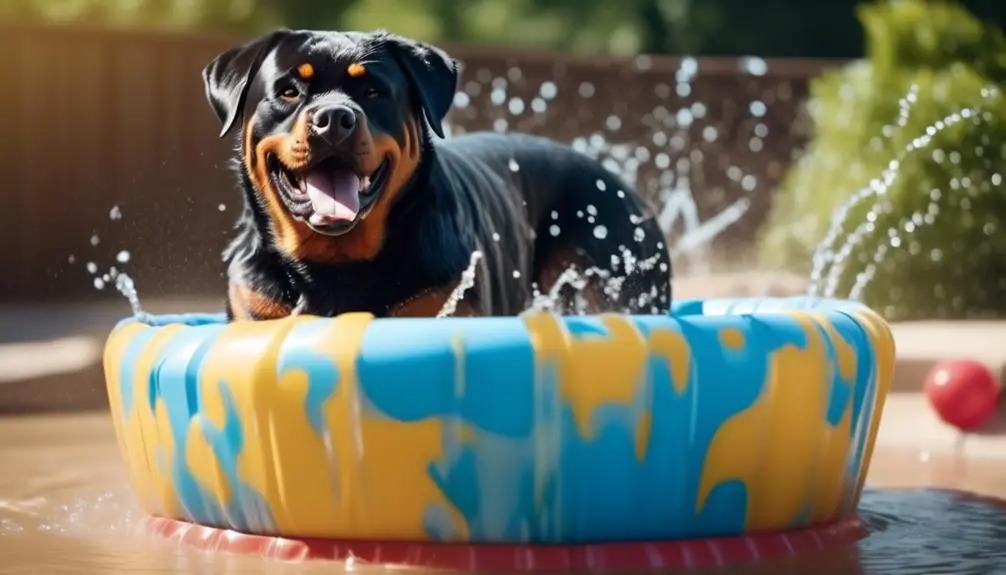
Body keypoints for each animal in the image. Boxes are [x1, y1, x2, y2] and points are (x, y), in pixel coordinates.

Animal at [200, 28, 672, 319]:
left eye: (373, 91)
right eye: (288, 91)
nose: (334, 118)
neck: (335, 263)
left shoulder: (439, 304)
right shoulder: (256, 305)